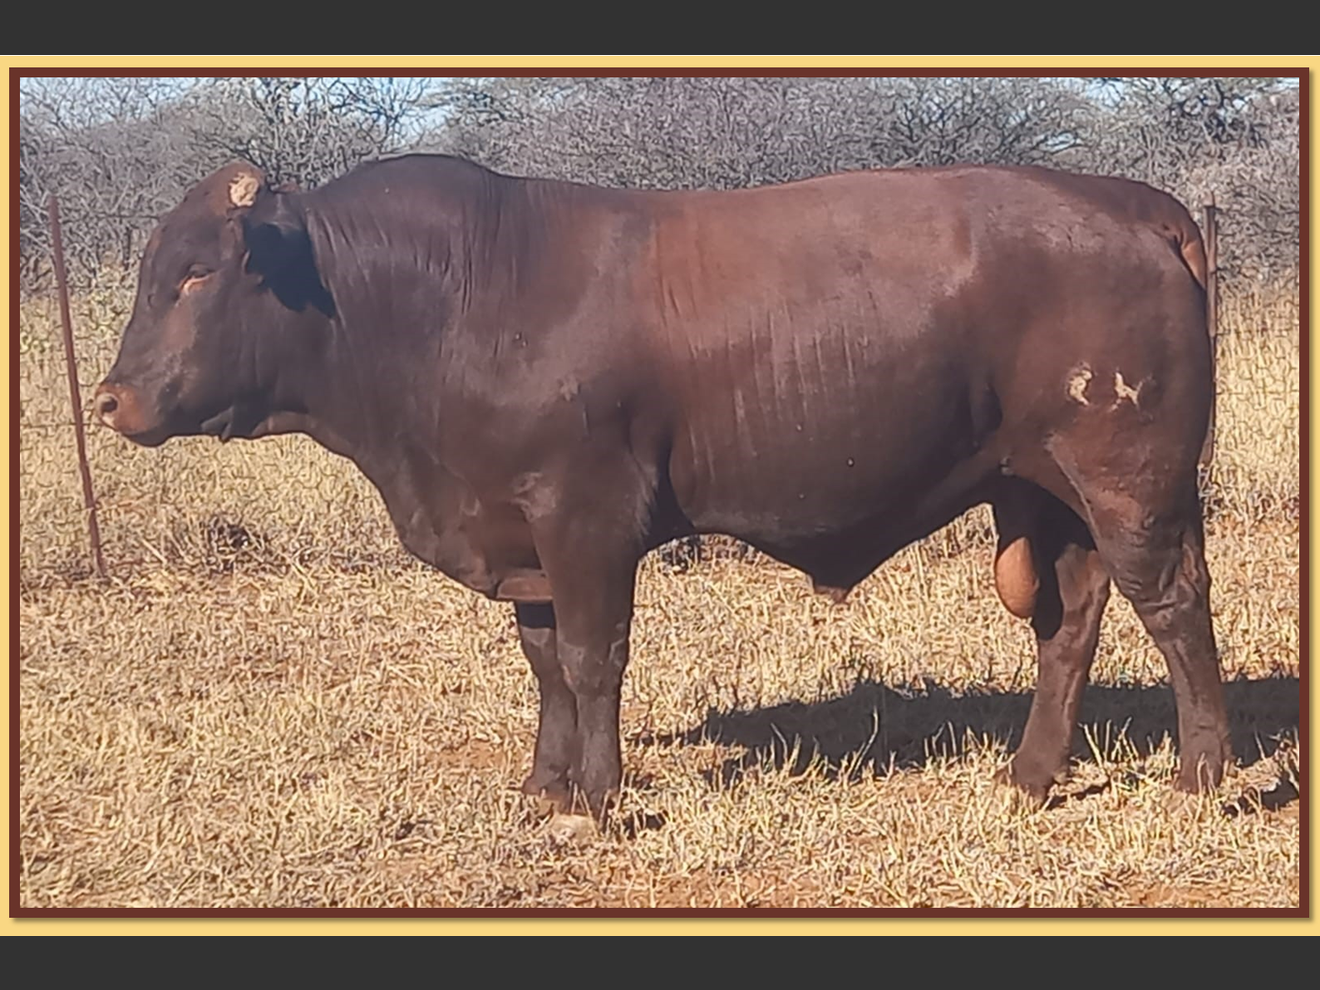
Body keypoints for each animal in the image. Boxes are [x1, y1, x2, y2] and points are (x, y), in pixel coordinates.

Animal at [94, 155, 1232, 823]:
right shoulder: (522, 532)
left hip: (1130, 480)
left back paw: (1201, 779)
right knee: (1070, 618)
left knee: (1176, 608)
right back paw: (1031, 776)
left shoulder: (584, 516)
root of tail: (1134, 201)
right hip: (1045, 487)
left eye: (197, 272)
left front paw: (596, 800)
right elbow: (545, 662)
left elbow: (593, 660)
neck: (454, 299)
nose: (110, 399)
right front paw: (543, 789)